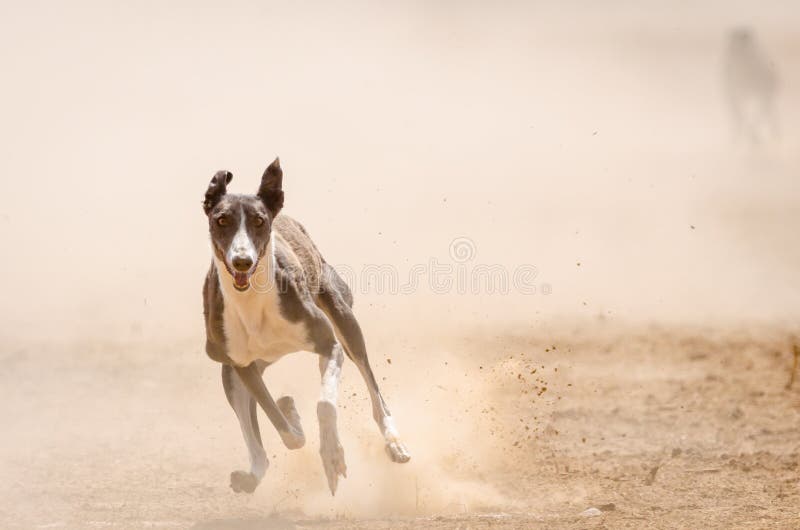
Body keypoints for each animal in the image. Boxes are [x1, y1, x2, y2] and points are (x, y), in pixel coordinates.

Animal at [200, 158, 412, 496]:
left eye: (258, 221)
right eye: (221, 220)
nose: (242, 261)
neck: (254, 304)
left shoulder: (329, 344)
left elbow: (325, 405)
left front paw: (332, 456)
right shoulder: (242, 365)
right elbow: (282, 427)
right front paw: (290, 414)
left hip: (344, 320)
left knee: (373, 389)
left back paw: (394, 442)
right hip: (233, 370)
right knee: (255, 435)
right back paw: (251, 474)